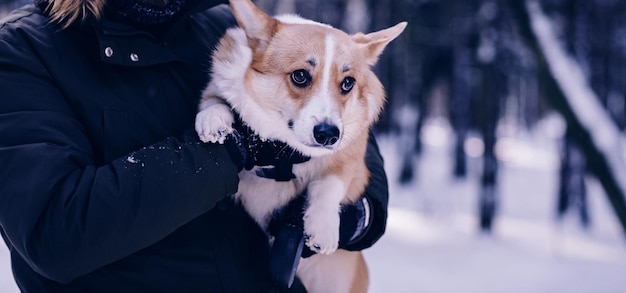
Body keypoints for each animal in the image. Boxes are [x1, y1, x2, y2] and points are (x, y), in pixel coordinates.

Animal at [195, 0, 408, 290]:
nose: (328, 134)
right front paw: (213, 119)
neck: (286, 151)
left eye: (348, 83)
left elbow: (331, 182)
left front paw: (323, 226)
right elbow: (216, 100)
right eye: (300, 76)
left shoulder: (354, 163)